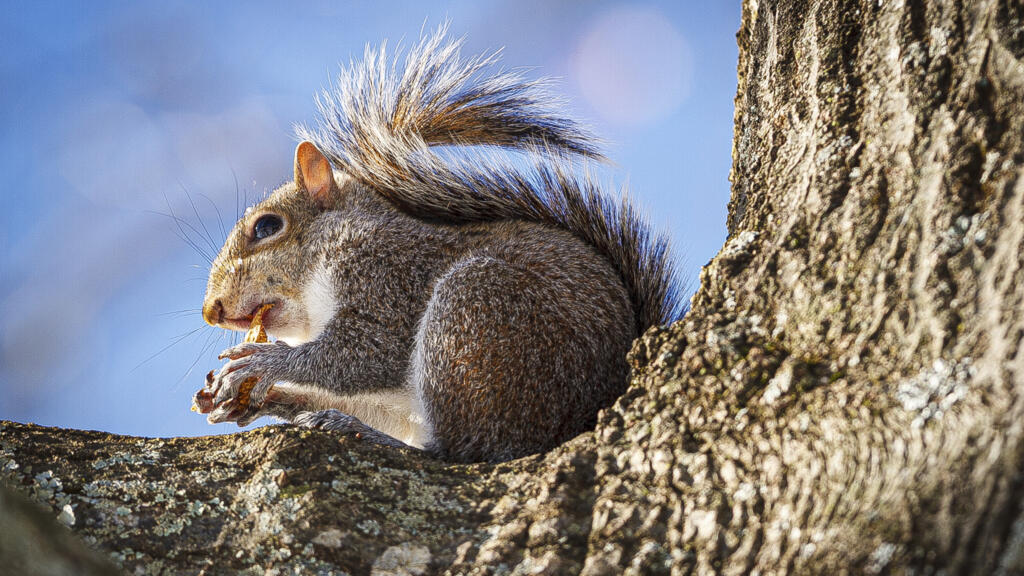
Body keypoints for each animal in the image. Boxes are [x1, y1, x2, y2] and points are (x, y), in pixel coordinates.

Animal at [199, 28, 684, 463]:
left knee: (462, 450)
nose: (211, 310)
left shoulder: (388, 272)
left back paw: (362, 432)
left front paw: (264, 363)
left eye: (267, 226)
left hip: (477, 319)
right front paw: (264, 397)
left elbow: (371, 351)